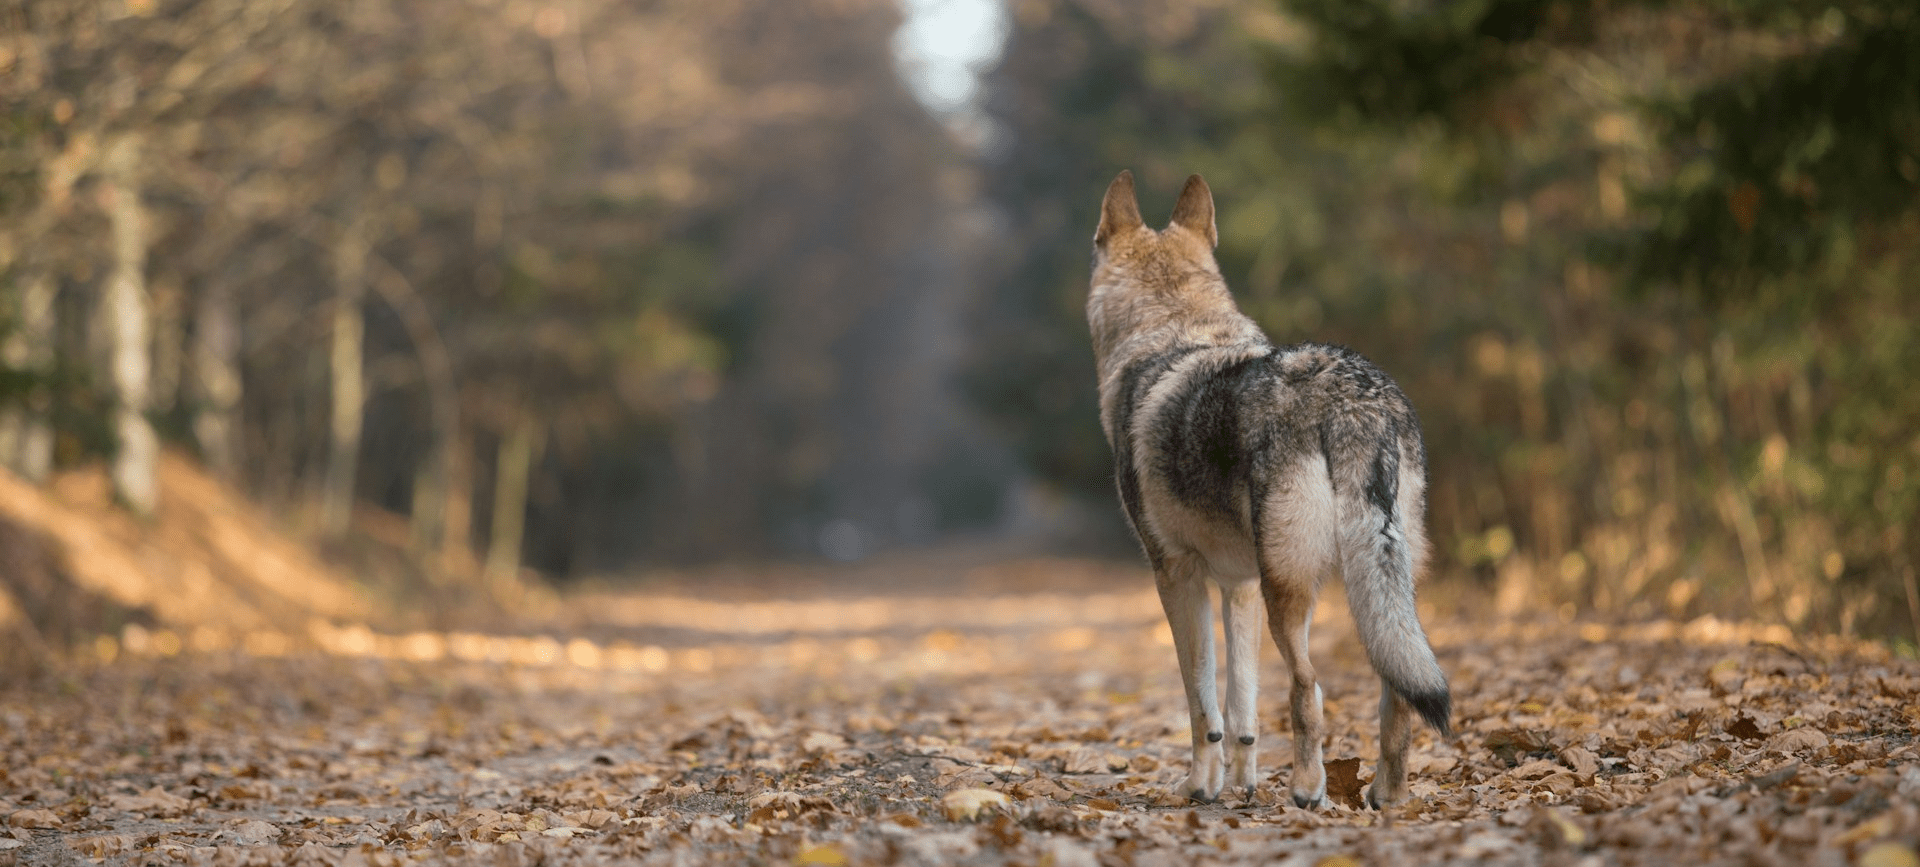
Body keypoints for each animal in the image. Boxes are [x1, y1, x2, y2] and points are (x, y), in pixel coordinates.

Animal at [1087, 171, 1451, 809]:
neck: (1168, 333)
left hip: (1293, 589)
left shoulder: (1177, 575)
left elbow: (1201, 702)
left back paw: (1308, 790)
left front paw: (1202, 786)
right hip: (1384, 588)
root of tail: (1355, 399)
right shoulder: (1240, 585)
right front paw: (1242, 782)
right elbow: (1242, 708)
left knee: (1309, 689)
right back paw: (1387, 795)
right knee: (1400, 689)